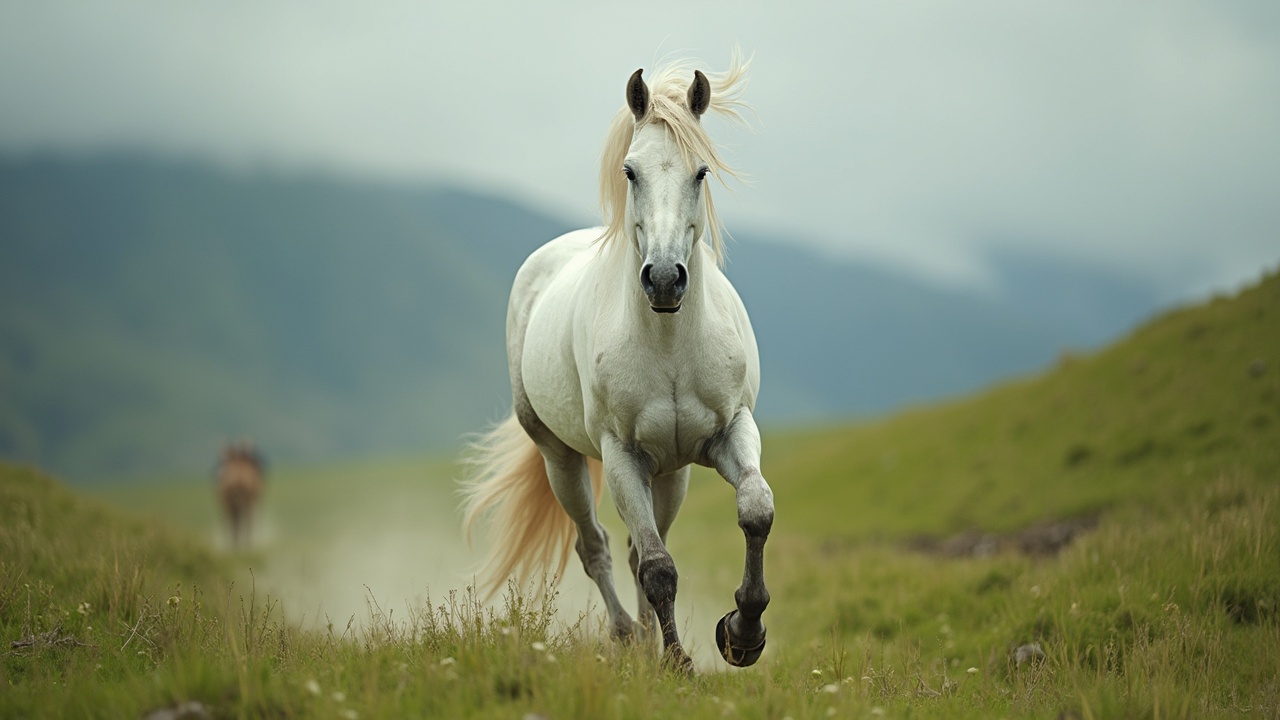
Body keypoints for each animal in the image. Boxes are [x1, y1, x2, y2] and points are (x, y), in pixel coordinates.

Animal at [462, 53, 773, 672]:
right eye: (631, 172)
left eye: (701, 172)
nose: (664, 278)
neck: (670, 344)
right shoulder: (622, 454)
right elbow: (657, 568)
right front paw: (678, 663)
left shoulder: (730, 430)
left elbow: (754, 510)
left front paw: (743, 633)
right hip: (561, 458)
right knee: (598, 547)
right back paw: (629, 635)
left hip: (671, 472)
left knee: (632, 548)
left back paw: (649, 639)